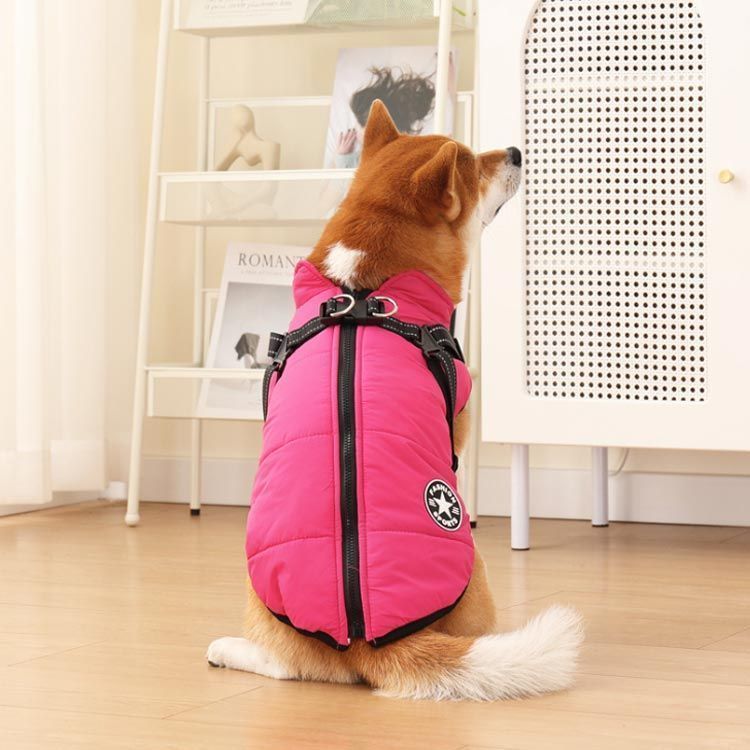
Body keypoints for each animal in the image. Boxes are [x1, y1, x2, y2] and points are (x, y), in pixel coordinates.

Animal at [207, 101, 583, 701]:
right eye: (474, 166)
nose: (517, 150)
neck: (363, 292)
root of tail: (368, 643)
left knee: (287, 664)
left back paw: (229, 648)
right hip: (477, 570)